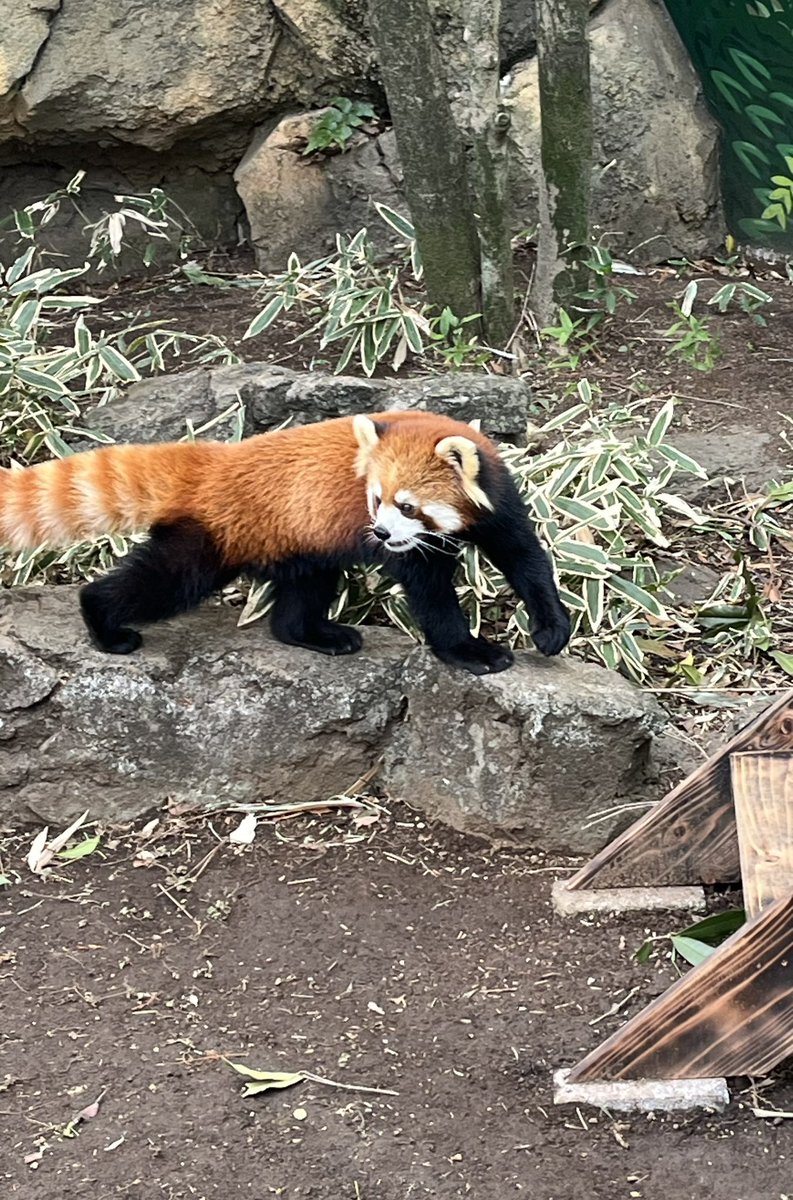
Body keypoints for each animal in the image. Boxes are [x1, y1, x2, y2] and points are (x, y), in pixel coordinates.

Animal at [0, 410, 568, 676]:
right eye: (375, 499)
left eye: (407, 506)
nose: (381, 532)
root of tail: (216, 462)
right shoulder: (411, 552)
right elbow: (430, 594)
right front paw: (468, 650)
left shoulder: (498, 506)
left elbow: (525, 559)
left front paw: (551, 629)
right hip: (216, 536)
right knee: (162, 582)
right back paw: (103, 622)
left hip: (296, 542)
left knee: (303, 591)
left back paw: (315, 634)